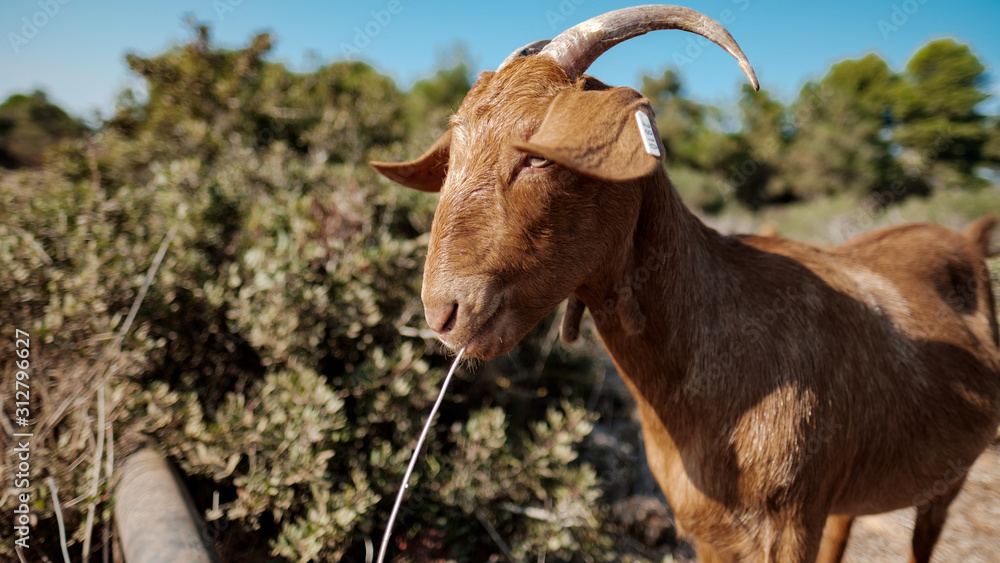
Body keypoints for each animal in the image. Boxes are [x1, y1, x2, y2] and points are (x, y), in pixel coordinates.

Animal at [371, 6, 1000, 562]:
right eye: (451, 155)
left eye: (538, 155)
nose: (443, 312)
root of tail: (969, 237)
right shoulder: (707, 528)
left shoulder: (792, 523)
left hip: (948, 479)